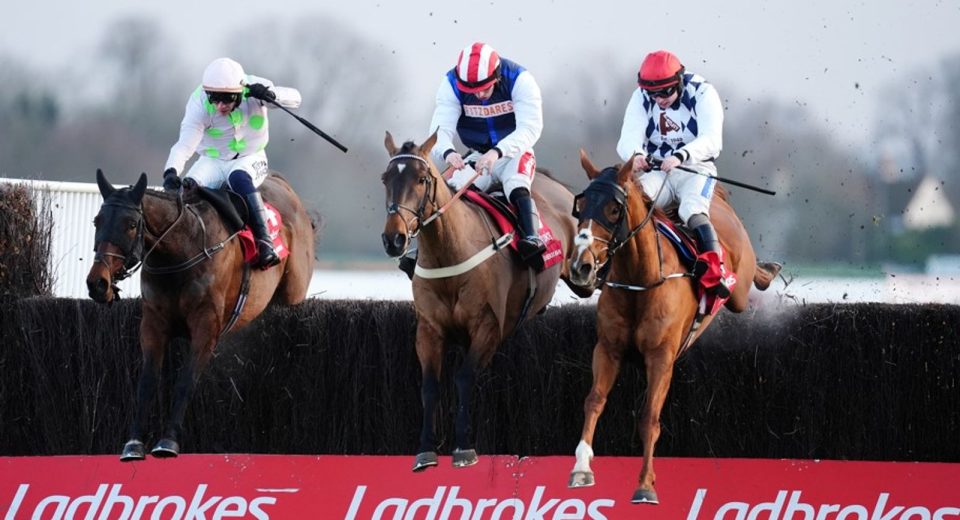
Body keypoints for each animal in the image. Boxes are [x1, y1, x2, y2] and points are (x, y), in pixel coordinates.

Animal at [86, 169, 315, 461]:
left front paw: (168, 442)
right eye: (97, 221)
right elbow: (147, 382)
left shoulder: (206, 327)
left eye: (131, 224)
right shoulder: (153, 324)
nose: (97, 283)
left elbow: (186, 381)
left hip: (293, 292)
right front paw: (133, 443)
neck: (181, 250)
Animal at [380, 131, 594, 471]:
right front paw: (425, 451)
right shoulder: (428, 329)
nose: (394, 239)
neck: (450, 252)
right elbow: (430, 385)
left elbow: (464, 378)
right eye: (385, 178)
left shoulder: (488, 327)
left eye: (422, 179)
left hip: (583, 276)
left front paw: (463, 448)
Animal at [565, 151, 781, 504]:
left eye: (614, 209)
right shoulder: (608, 349)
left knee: (746, 279)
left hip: (737, 287)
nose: (580, 267)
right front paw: (581, 468)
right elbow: (593, 400)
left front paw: (645, 486)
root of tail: (718, 199)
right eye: (580, 207)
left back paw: (767, 270)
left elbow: (650, 417)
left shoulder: (661, 357)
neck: (640, 280)